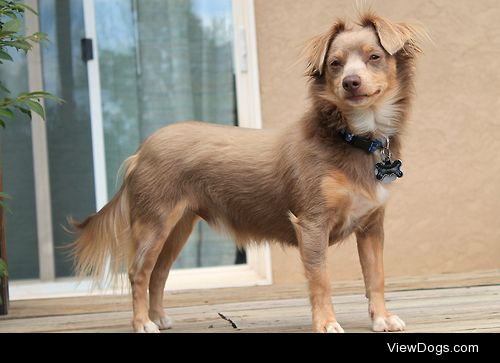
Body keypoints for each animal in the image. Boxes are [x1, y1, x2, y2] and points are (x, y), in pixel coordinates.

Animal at [71, 11, 426, 334]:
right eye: (335, 65)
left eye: (374, 57)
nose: (350, 82)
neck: (355, 138)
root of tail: (141, 150)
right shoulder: (313, 225)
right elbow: (321, 280)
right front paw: (326, 323)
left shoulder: (371, 228)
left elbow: (376, 277)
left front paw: (382, 318)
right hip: (154, 224)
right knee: (138, 273)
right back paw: (142, 323)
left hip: (177, 228)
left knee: (158, 274)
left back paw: (158, 318)